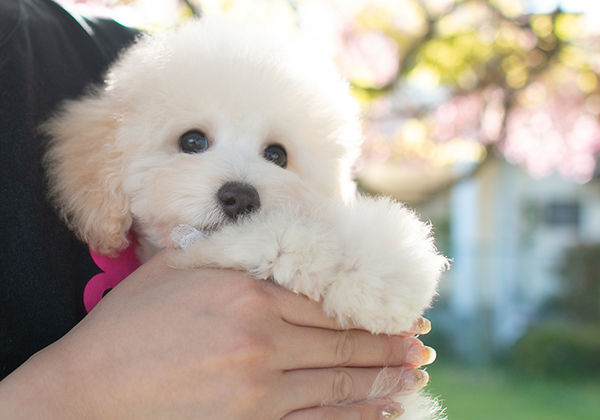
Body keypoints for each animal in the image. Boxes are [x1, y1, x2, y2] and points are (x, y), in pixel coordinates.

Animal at [44, 18, 448, 418]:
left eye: (277, 155)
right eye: (192, 141)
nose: (240, 197)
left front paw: (378, 288)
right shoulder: (195, 249)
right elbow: (254, 241)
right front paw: (309, 257)